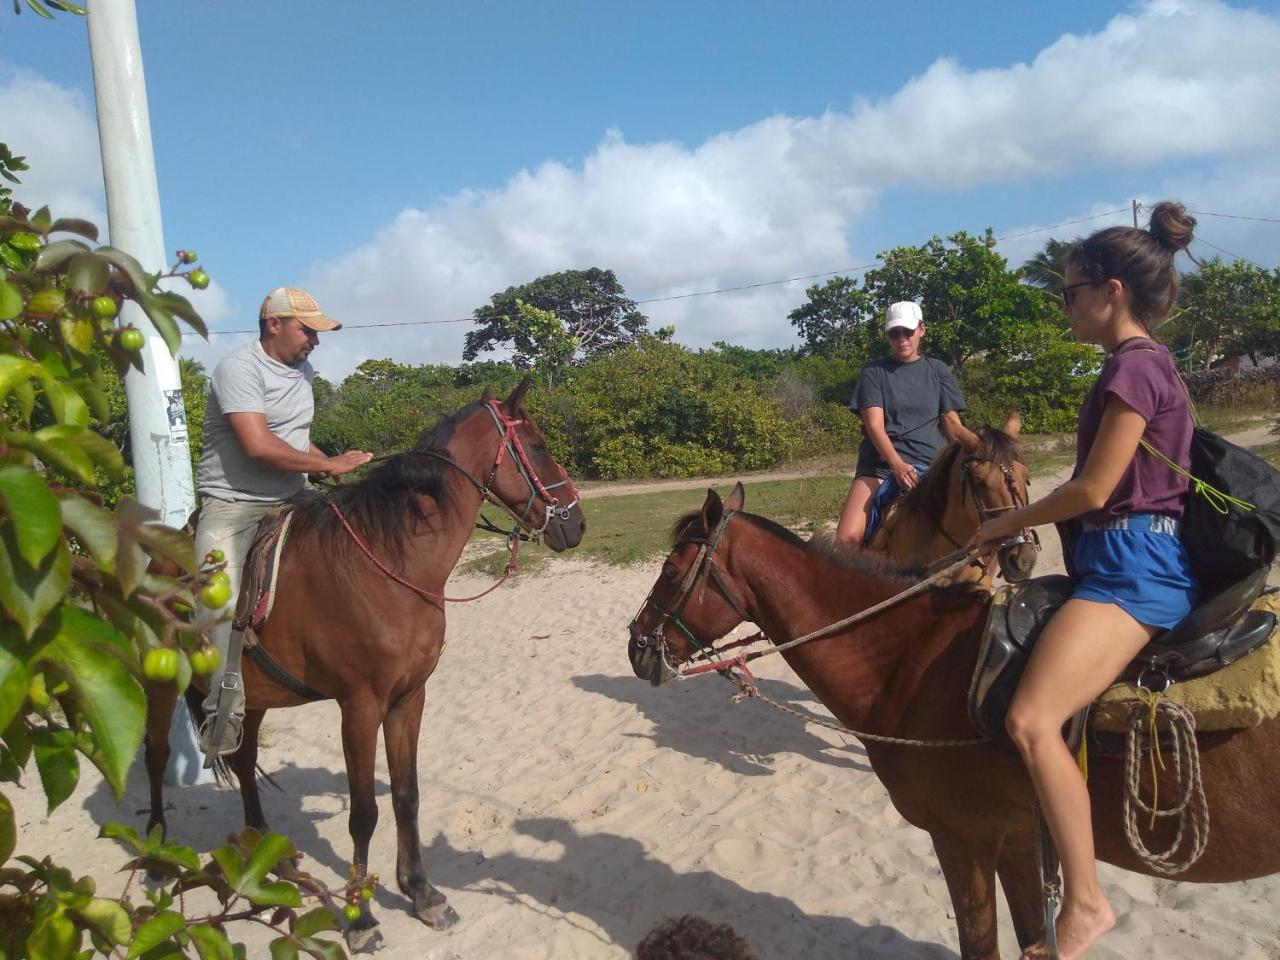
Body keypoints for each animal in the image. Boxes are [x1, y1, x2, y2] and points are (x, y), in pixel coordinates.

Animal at [145, 384, 586, 957]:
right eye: (536, 446)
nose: (576, 523)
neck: (387, 564)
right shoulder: (359, 707)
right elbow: (364, 814)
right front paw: (360, 916)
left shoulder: (409, 699)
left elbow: (406, 797)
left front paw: (421, 893)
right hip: (157, 683)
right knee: (155, 757)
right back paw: (155, 855)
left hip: (250, 696)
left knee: (243, 761)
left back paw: (267, 851)